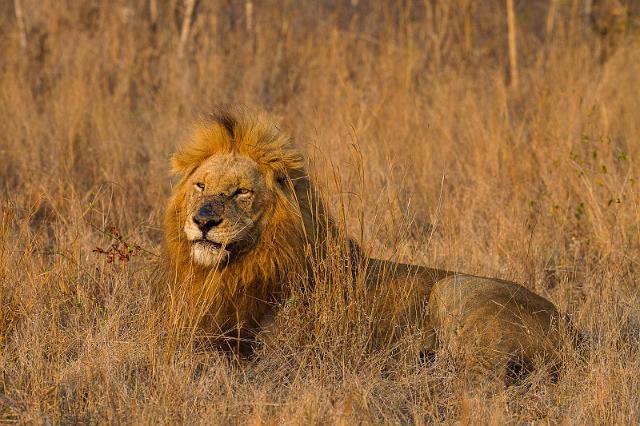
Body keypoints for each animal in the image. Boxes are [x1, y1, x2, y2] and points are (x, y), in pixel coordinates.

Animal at [162, 107, 568, 382]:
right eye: (201, 186)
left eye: (241, 192)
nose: (203, 221)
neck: (239, 267)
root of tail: (573, 335)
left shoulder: (284, 352)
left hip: (454, 289)